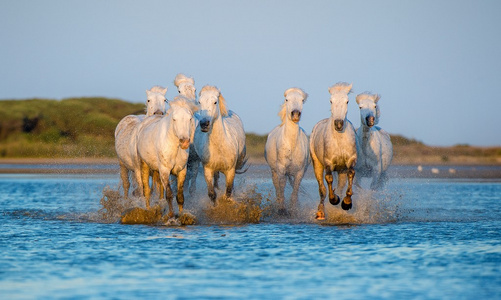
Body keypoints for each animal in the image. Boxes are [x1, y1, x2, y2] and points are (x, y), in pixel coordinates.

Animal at [264, 86, 310, 216]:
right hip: (274, 171)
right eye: (287, 99)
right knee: (277, 188)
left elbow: (295, 191)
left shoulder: (300, 172)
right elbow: (281, 188)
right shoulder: (281, 170)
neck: (291, 145)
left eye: (302, 100)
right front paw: (282, 210)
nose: (295, 114)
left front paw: (293, 210)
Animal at [308, 82, 356, 220]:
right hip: (317, 164)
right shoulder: (328, 162)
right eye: (331, 101)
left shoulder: (351, 160)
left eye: (347, 101)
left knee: (340, 185)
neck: (339, 139)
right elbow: (328, 178)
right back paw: (320, 213)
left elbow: (351, 174)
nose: (338, 124)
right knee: (322, 188)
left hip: (341, 170)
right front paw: (334, 199)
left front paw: (346, 203)